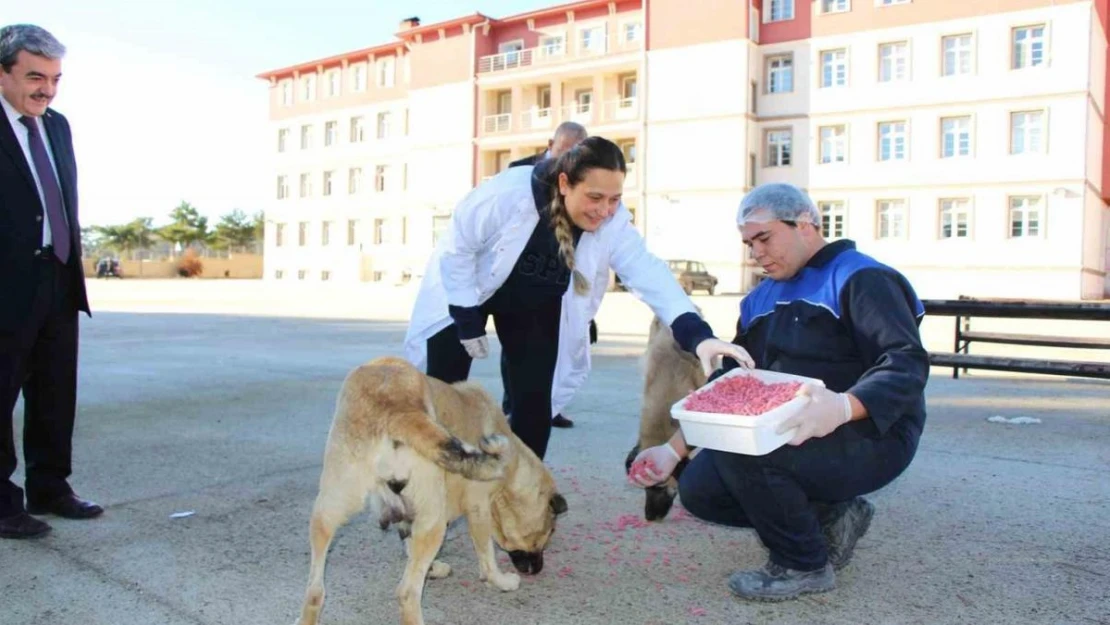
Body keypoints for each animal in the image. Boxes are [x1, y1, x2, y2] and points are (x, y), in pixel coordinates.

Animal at [295, 357, 568, 625]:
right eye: (549, 532)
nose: (538, 569)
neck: (514, 467)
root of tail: (396, 408)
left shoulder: (409, 517)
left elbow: (409, 546)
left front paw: (432, 568)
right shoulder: (478, 509)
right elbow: (486, 556)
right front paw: (500, 581)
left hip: (327, 511)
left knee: (315, 590)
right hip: (433, 519)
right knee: (407, 593)